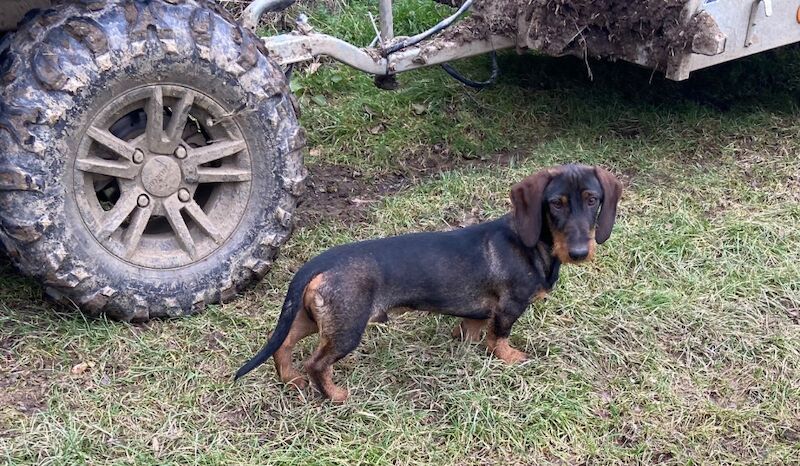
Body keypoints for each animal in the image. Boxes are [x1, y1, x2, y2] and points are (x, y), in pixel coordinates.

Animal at [234, 164, 620, 400]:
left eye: (593, 199)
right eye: (556, 203)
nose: (581, 252)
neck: (531, 244)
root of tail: (316, 264)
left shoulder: (480, 311)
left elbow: (473, 327)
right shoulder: (509, 307)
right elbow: (499, 336)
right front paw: (509, 357)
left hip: (315, 319)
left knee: (283, 345)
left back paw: (290, 379)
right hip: (347, 328)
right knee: (317, 363)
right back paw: (335, 395)